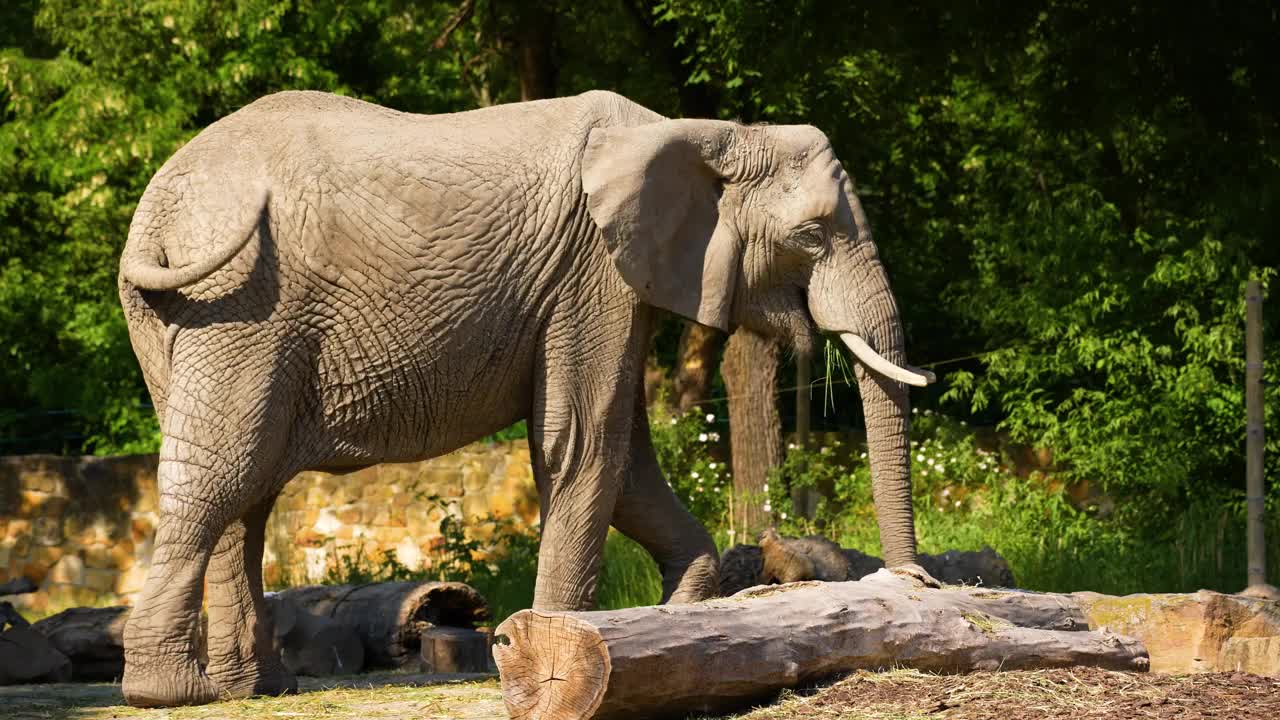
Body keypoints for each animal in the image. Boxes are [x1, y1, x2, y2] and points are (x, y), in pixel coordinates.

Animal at [120, 87, 936, 702]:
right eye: (813, 234)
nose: (917, 582)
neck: (705, 133)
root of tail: (153, 212)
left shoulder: (615, 285)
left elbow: (627, 461)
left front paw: (679, 616)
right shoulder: (592, 274)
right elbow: (585, 446)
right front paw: (548, 647)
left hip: (190, 322)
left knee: (244, 495)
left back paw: (258, 689)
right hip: (243, 305)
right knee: (221, 477)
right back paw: (173, 693)